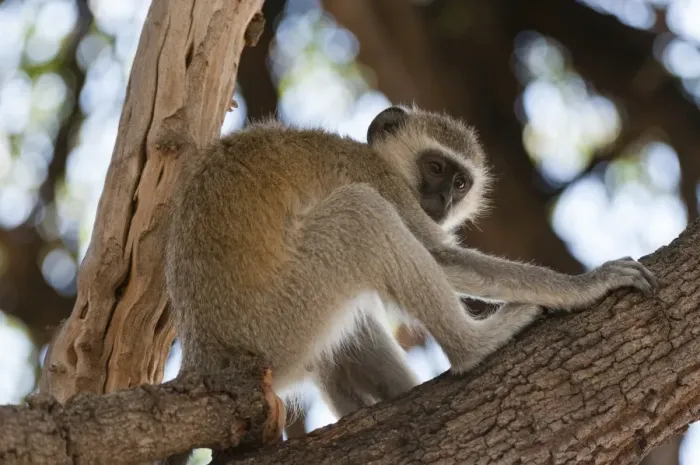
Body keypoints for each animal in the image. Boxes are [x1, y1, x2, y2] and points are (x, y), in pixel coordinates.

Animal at [163, 105, 657, 464]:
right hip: (278, 324)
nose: (443, 199)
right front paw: (586, 283)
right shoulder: (381, 181)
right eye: (435, 167)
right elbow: (440, 256)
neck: (380, 159)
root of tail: (205, 356)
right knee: (361, 215)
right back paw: (474, 345)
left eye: (460, 182)